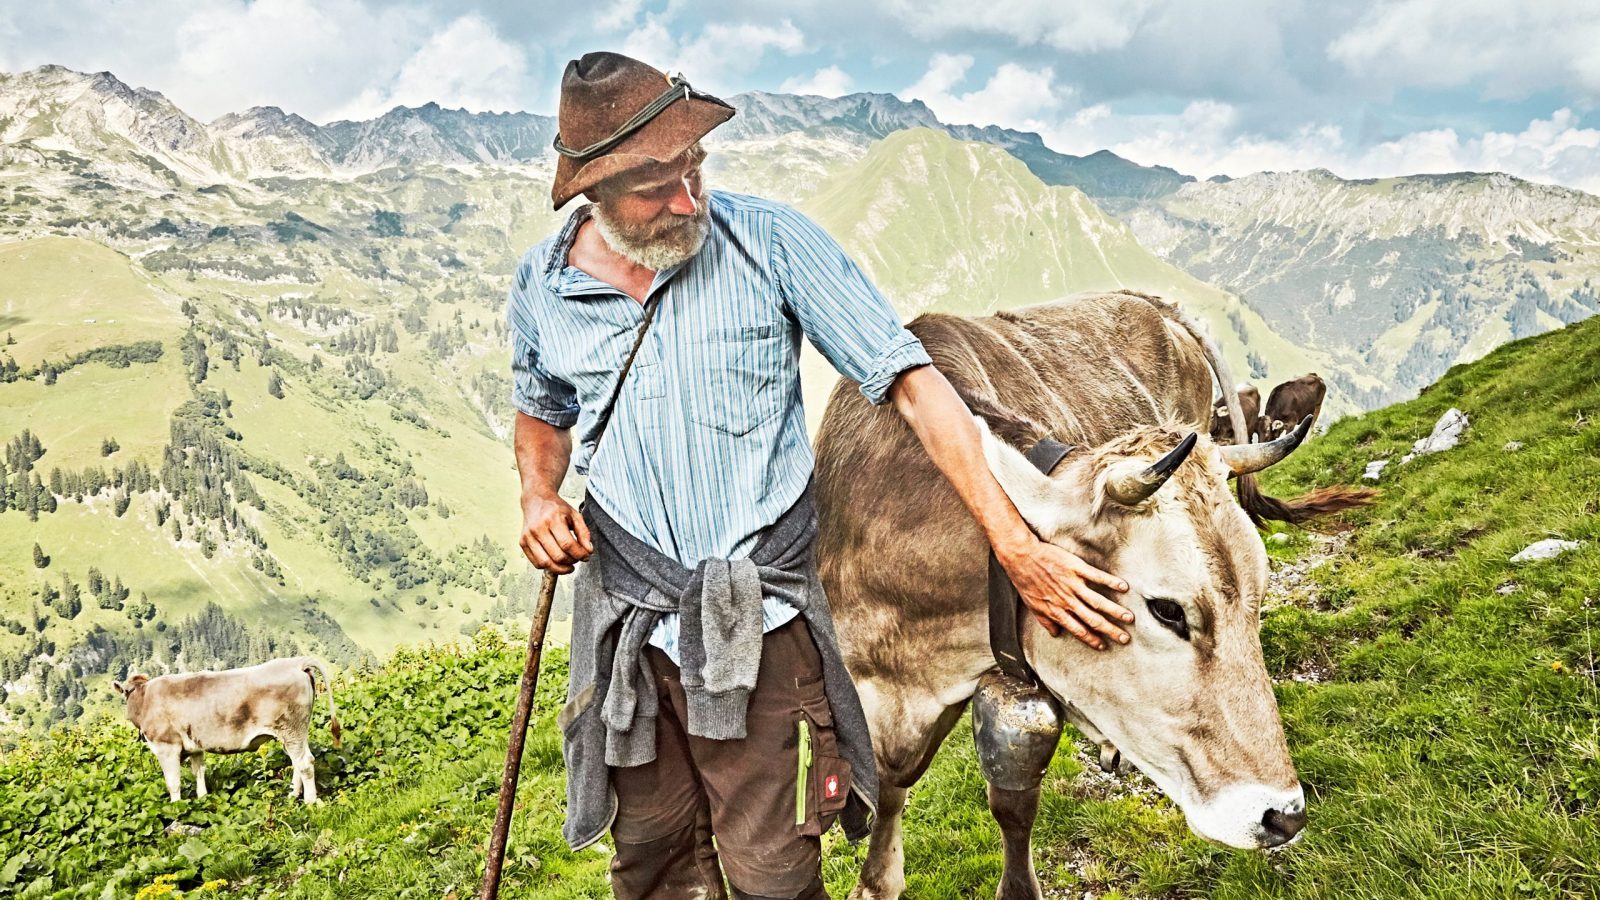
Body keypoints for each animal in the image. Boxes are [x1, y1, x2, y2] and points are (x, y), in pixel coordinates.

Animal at [112, 650, 340, 797]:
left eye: (125, 694)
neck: (145, 698)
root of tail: (297, 663)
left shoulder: (166, 746)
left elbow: (173, 783)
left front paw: (177, 809)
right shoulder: (195, 746)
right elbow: (199, 772)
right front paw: (203, 798)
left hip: (290, 729)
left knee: (305, 763)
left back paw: (310, 802)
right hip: (296, 732)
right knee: (298, 762)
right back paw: (293, 795)